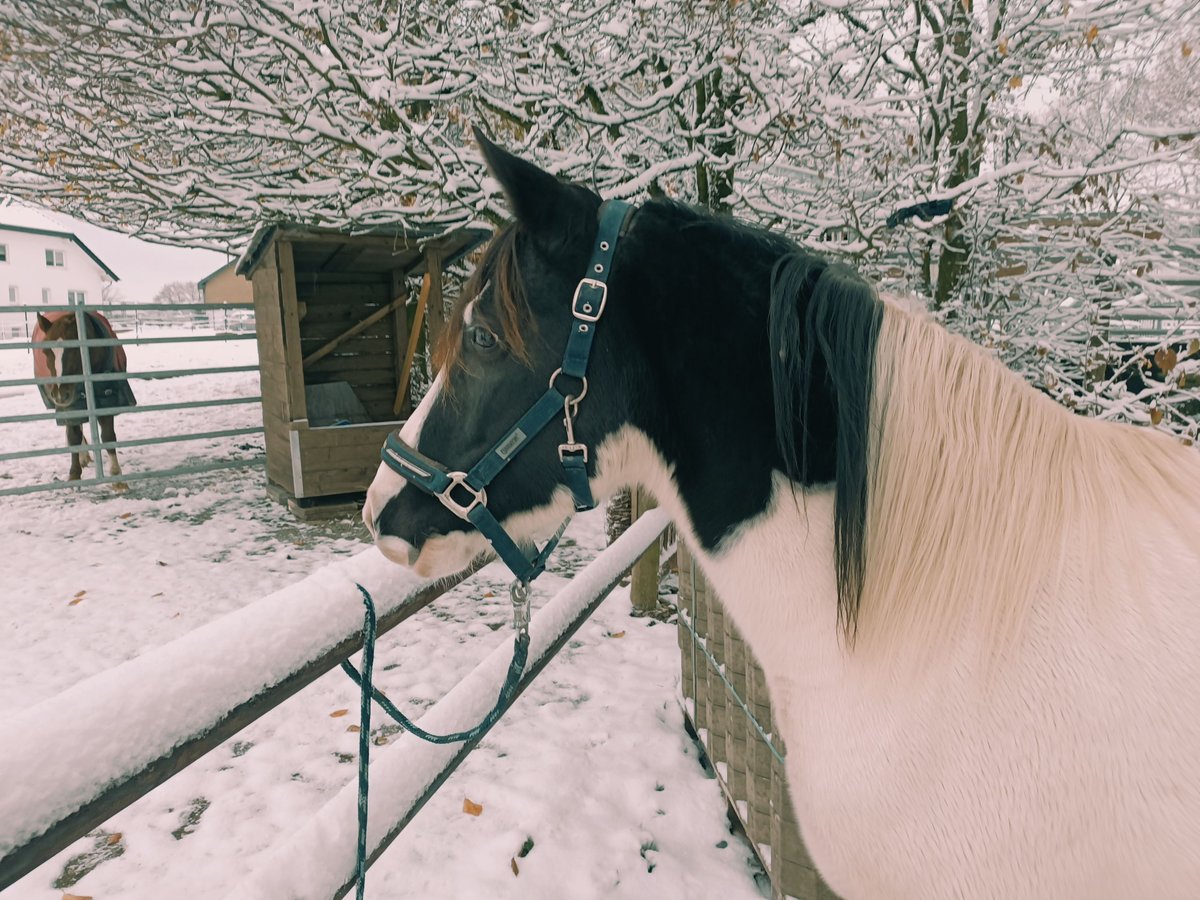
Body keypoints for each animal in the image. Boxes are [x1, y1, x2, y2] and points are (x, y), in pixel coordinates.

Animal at [34, 314, 135, 489]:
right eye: (46, 351)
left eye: (75, 349)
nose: (60, 394)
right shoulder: (70, 407)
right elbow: (73, 436)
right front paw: (74, 474)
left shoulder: (107, 399)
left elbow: (108, 436)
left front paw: (117, 478)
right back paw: (82, 457)